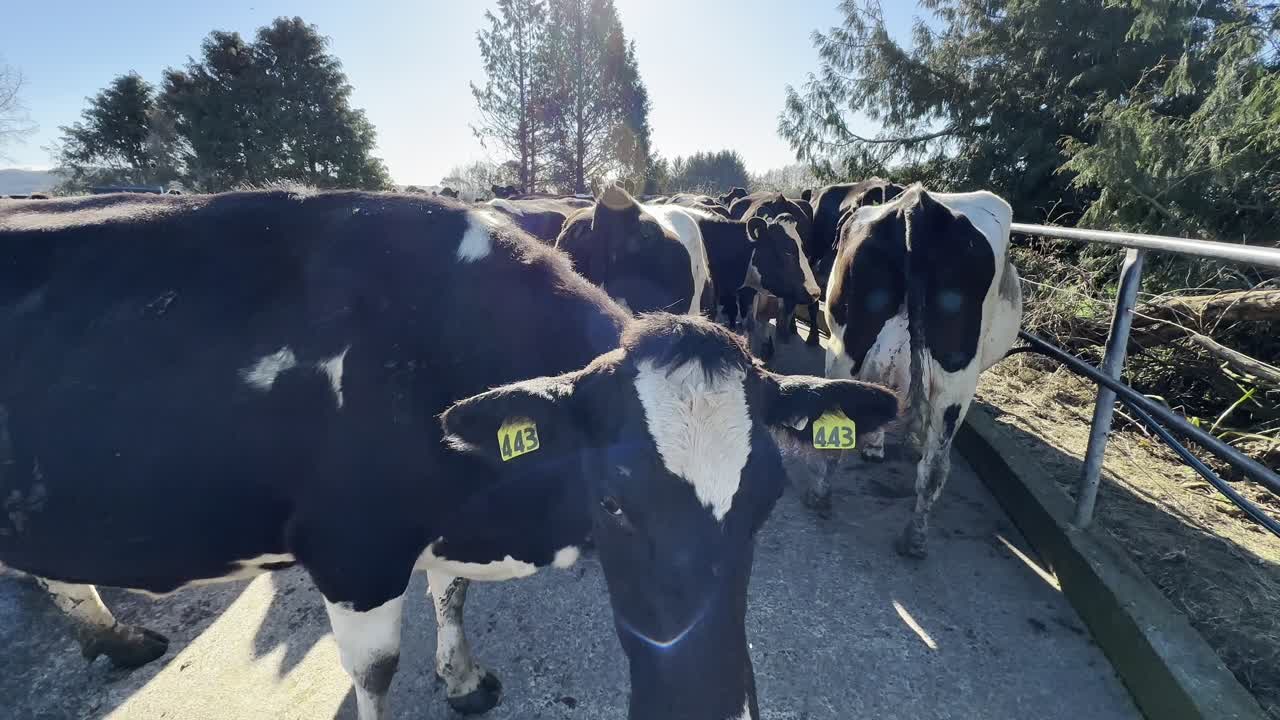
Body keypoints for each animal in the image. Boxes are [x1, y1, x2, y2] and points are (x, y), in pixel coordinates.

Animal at [818, 186, 1022, 558]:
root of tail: (917, 205)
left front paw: (875, 446)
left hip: (846, 346)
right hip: (955, 376)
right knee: (935, 465)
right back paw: (913, 536)